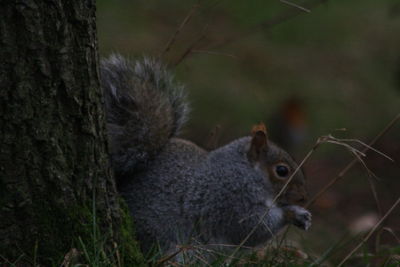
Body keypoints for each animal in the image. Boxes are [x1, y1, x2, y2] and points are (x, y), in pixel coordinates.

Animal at [101, 54, 312, 255]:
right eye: (282, 171)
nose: (303, 198)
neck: (245, 172)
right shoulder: (231, 199)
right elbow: (251, 226)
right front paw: (294, 213)